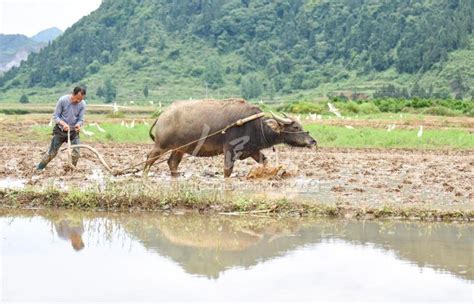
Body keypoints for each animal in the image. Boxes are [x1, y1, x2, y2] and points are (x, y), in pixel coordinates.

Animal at [143, 98, 316, 177]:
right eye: (296, 127)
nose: (313, 141)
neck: (255, 125)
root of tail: (162, 115)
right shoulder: (230, 150)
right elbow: (227, 171)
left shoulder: (253, 150)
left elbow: (265, 161)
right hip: (161, 145)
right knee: (149, 159)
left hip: (179, 148)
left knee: (172, 163)